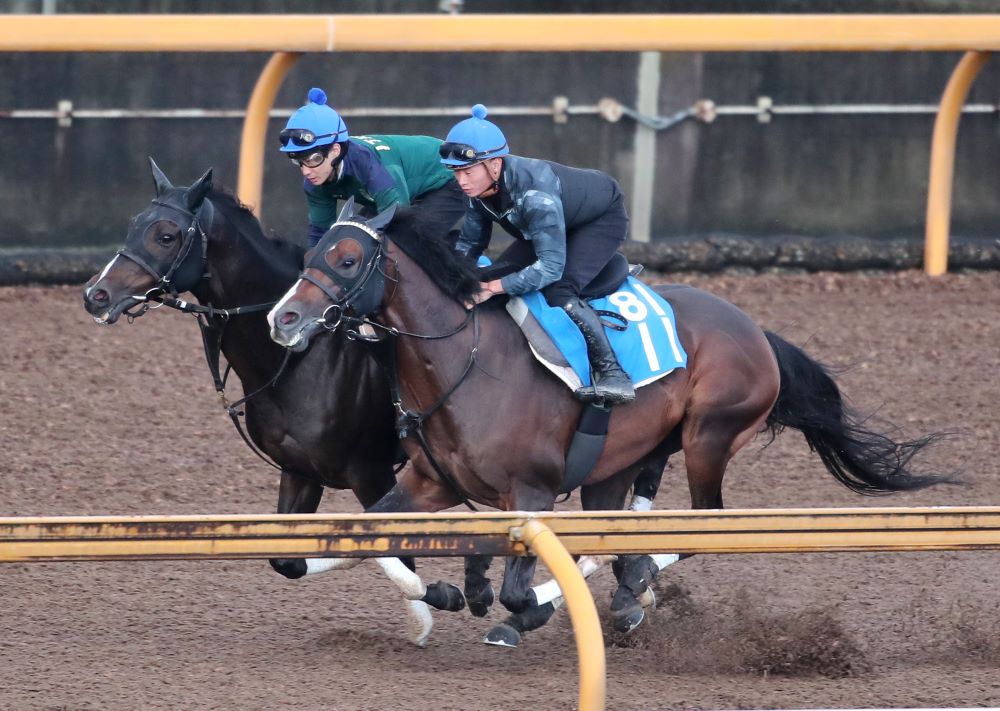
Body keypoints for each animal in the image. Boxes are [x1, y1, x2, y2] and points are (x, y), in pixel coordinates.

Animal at [80, 161, 470, 644]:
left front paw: (436, 606)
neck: (301, 357)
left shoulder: (373, 472)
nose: (95, 295)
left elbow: (396, 553)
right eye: (135, 223)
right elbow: (288, 560)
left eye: (166, 235)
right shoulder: (300, 470)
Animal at [268, 204, 952, 644]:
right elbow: (373, 536)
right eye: (310, 252)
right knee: (623, 524)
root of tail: (755, 329)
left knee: (704, 522)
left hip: (709, 435)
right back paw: (627, 588)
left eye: (349, 259)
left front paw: (512, 606)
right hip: (622, 459)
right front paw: (449, 594)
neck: (465, 362)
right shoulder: (430, 484)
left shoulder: (533, 492)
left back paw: (625, 589)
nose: (284, 318)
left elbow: (518, 582)